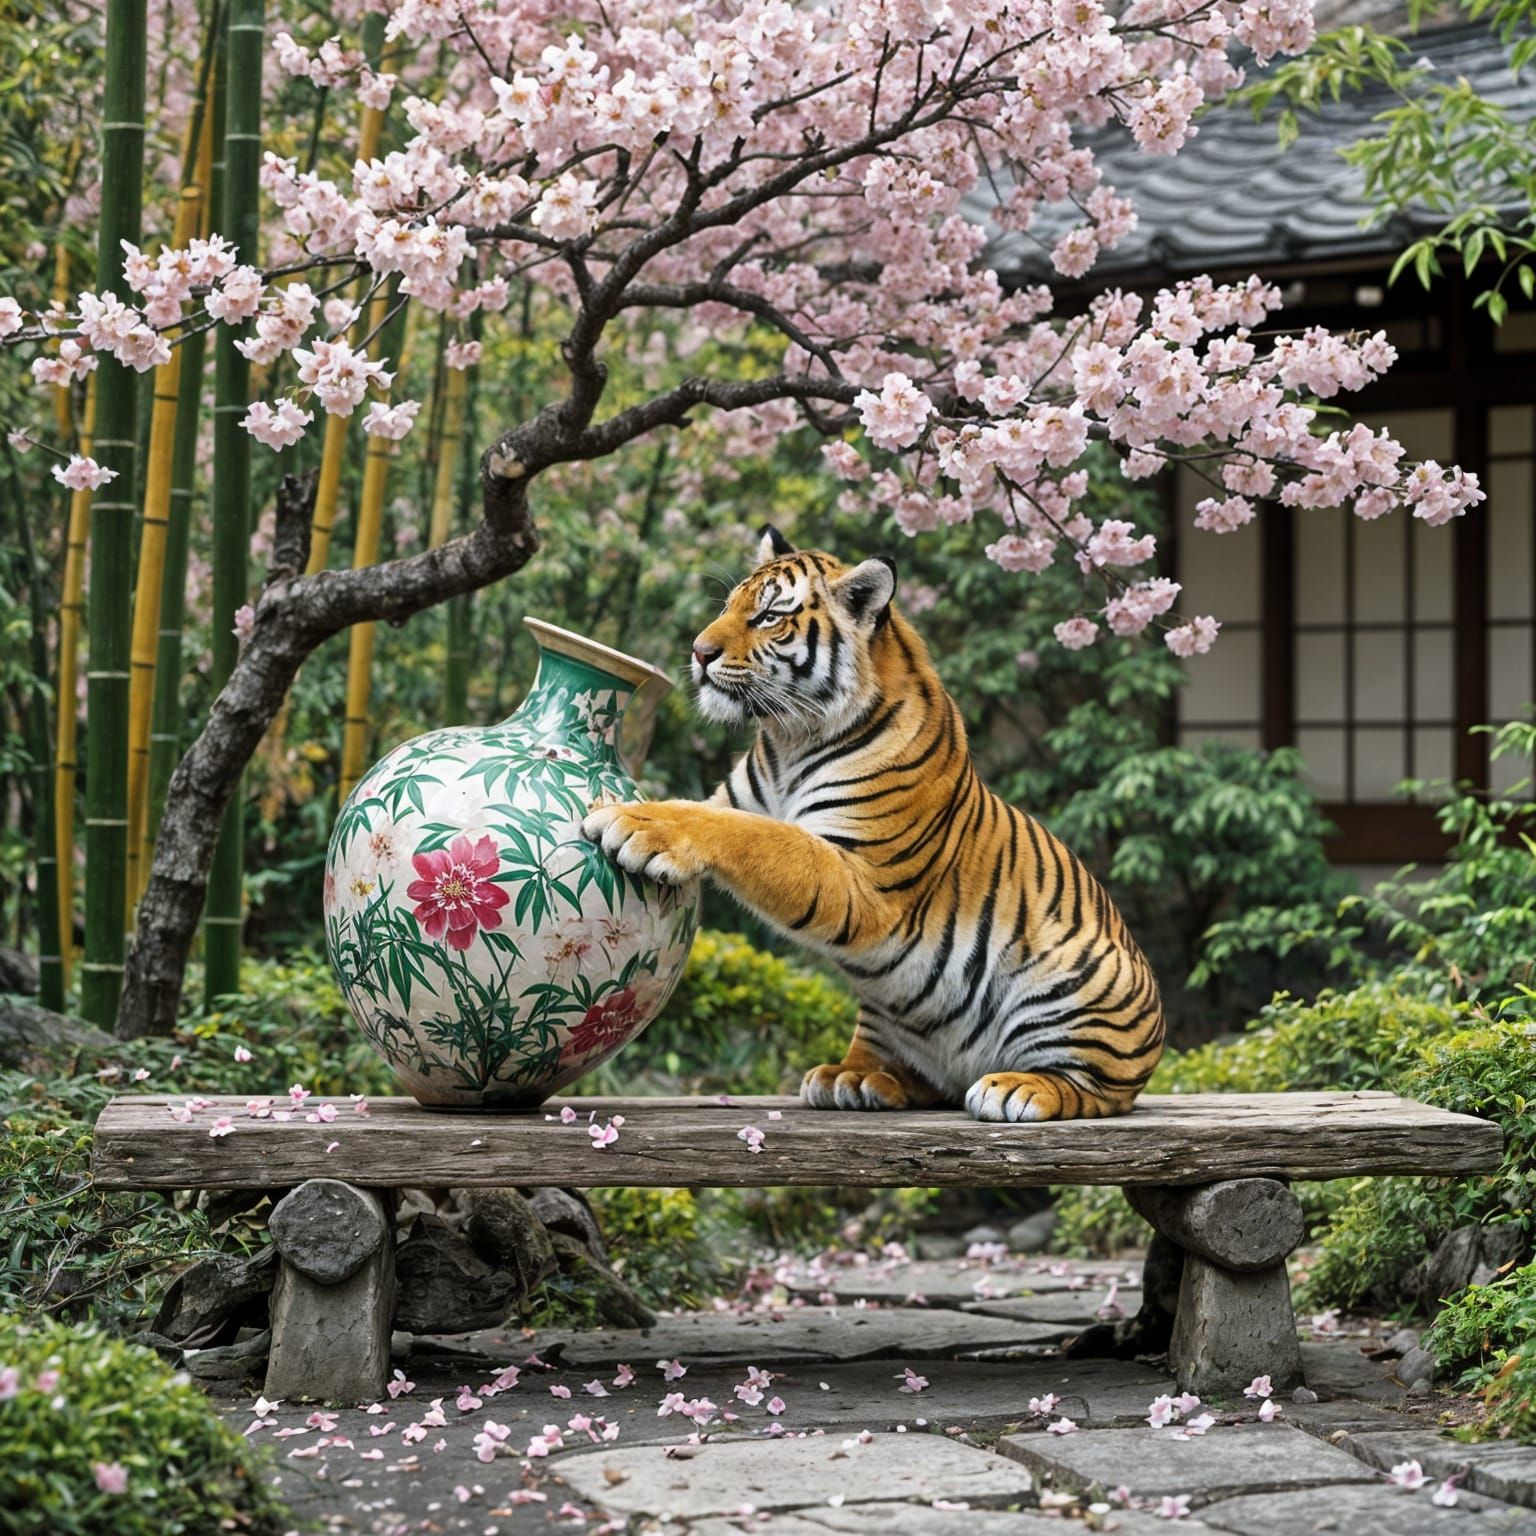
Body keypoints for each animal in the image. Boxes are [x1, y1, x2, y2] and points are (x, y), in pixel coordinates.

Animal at [580, 526, 1165, 1122]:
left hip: (1081, 981)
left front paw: (635, 820)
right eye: (728, 606)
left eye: (768, 616)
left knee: (1095, 1088)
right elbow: (714, 813)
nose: (699, 652)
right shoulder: (734, 800)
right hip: (886, 1013)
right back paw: (856, 1076)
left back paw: (1020, 1088)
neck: (790, 738)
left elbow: (755, 836)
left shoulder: (863, 877)